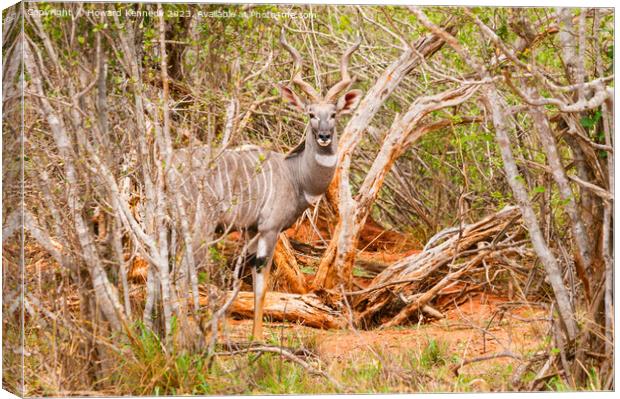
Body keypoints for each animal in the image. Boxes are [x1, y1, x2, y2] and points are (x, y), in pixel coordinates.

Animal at [171, 31, 364, 340]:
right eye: (310, 113)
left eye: (334, 114)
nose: (323, 136)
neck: (295, 175)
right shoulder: (270, 228)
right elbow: (261, 286)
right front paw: (258, 339)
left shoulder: (251, 230)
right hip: (199, 226)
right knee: (180, 275)